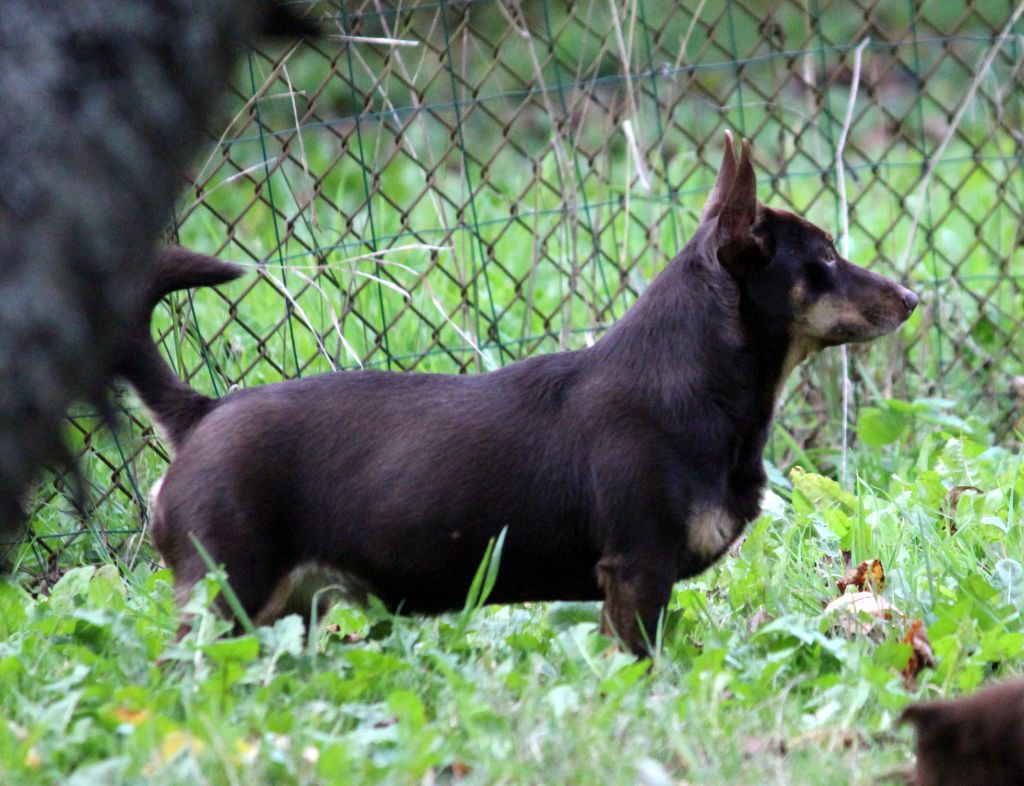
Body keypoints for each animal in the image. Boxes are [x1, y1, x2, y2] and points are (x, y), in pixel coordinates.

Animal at [116, 133, 917, 650]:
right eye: (825, 259)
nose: (912, 296)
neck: (696, 385)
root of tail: (203, 415)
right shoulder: (637, 575)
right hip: (228, 595)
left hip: (287, 611)